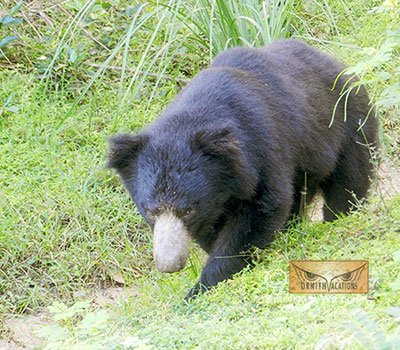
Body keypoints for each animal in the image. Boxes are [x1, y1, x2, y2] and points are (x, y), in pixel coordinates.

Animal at [106, 39, 378, 300]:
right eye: (151, 211)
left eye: (188, 210)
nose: (169, 265)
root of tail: (338, 64)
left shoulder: (261, 148)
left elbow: (261, 210)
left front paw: (200, 289)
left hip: (346, 122)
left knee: (349, 180)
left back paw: (339, 217)